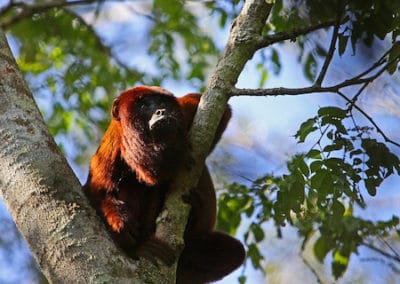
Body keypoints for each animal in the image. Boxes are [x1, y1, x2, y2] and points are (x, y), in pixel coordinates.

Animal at [84, 85, 245, 282]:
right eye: (144, 105)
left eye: (162, 103)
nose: (161, 111)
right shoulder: (112, 144)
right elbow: (96, 192)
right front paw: (119, 219)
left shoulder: (185, 110)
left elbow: (222, 113)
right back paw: (140, 248)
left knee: (234, 252)